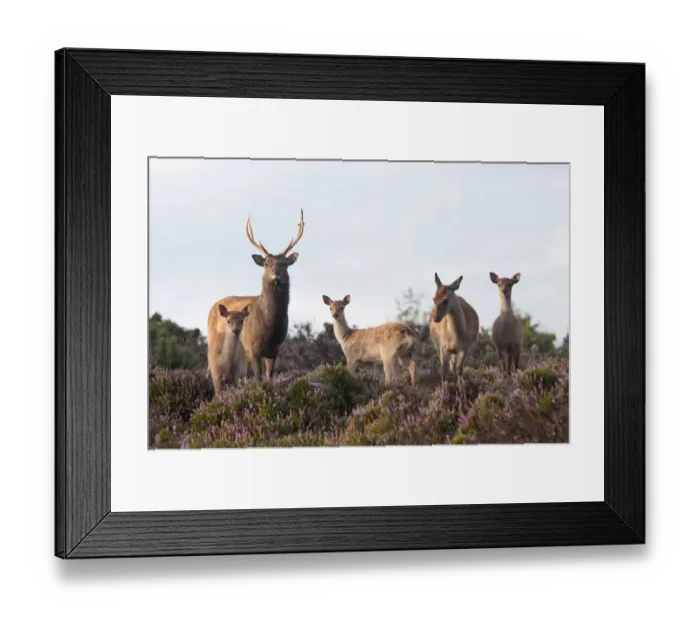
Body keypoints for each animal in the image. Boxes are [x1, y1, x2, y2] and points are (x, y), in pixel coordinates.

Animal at [207, 210, 305, 382]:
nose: (276, 274)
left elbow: (269, 378)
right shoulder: (252, 348)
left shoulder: (274, 350)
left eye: (284, 264)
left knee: (244, 376)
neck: (269, 327)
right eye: (266, 263)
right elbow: (258, 378)